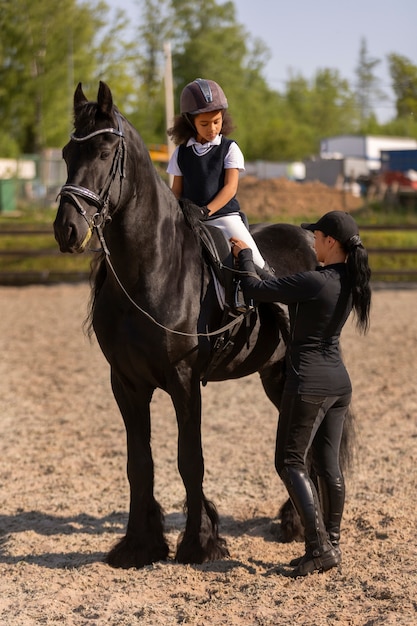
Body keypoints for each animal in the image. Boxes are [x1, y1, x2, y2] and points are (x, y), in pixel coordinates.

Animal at [52, 80, 348, 568]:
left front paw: (198, 542)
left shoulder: (184, 380)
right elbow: (140, 464)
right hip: (277, 375)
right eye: (66, 153)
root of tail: (311, 242)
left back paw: (301, 525)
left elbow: (190, 460)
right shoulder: (126, 383)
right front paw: (139, 545)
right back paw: (296, 523)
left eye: (105, 151)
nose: (67, 230)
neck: (152, 268)